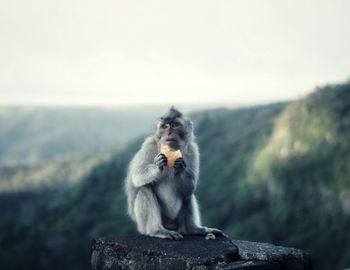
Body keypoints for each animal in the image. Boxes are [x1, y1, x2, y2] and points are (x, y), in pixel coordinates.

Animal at [124, 106, 226, 240]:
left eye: (175, 125)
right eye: (164, 126)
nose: (169, 132)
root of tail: (170, 225)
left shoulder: (193, 149)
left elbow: (190, 185)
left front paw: (180, 168)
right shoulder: (149, 146)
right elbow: (137, 175)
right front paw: (157, 167)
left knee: (187, 194)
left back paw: (194, 229)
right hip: (145, 224)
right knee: (144, 190)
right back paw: (157, 231)